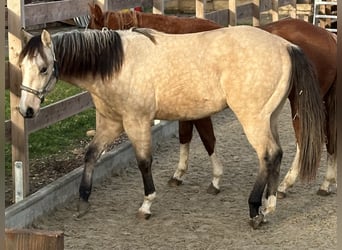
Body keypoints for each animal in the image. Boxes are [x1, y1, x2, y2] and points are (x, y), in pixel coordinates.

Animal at [88, 4, 336, 197]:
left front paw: (215, 179)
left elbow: (207, 138)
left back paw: (287, 184)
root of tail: (328, 38)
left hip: (299, 105)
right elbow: (185, 135)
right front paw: (179, 173)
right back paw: (326, 182)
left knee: (305, 139)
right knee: (329, 139)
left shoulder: (200, 111)